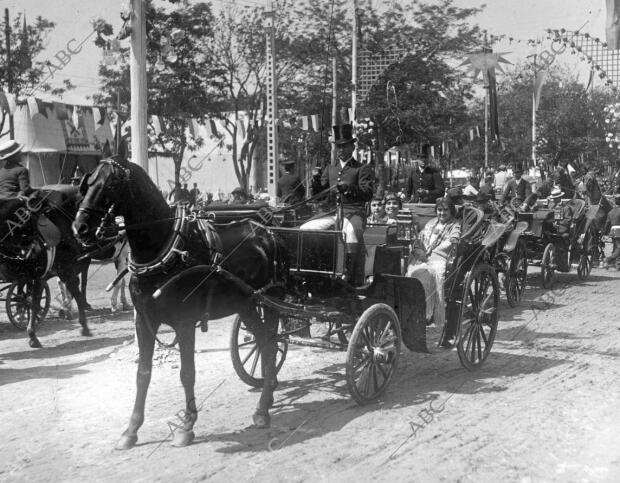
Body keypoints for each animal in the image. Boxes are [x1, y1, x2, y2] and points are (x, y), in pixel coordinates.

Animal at [73, 158, 286, 450]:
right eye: (86, 184)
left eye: (111, 185)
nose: (79, 227)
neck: (164, 250)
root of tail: (267, 232)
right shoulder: (144, 322)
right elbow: (143, 374)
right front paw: (131, 429)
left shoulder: (184, 323)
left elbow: (187, 373)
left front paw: (187, 425)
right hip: (247, 305)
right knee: (266, 341)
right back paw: (268, 393)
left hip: (269, 300)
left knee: (269, 342)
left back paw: (263, 408)